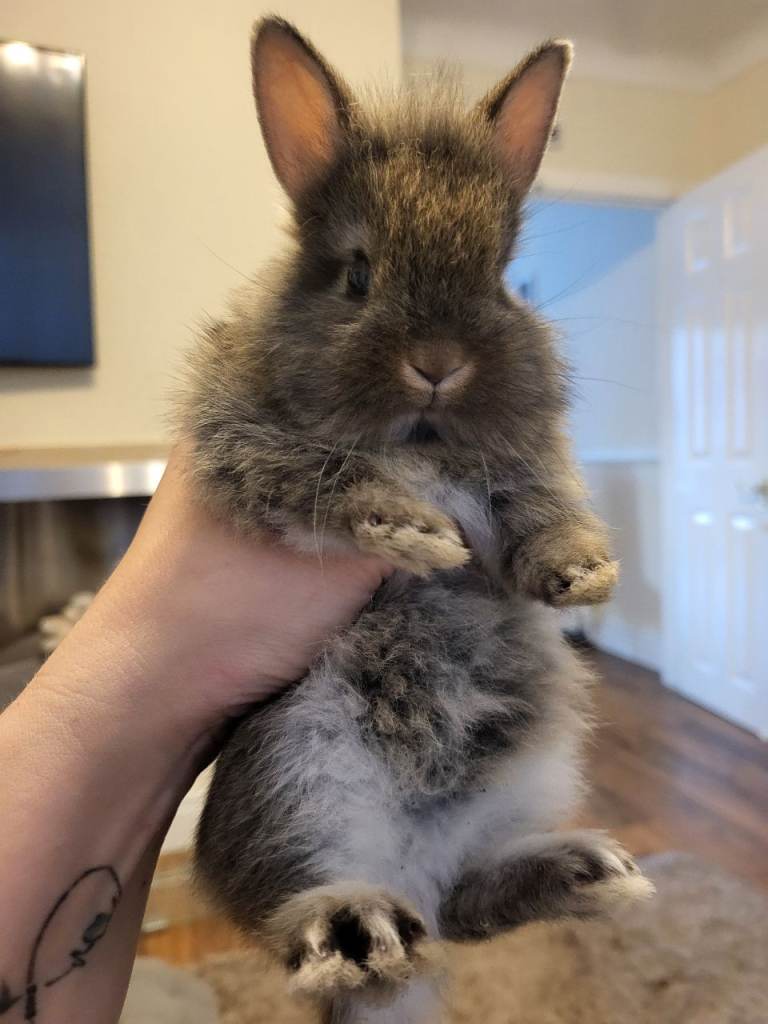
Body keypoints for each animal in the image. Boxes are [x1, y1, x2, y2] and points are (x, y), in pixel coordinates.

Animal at [181, 17, 653, 1024]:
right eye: (357, 275)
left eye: (502, 280)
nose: (438, 360)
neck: (425, 440)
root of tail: (410, 872)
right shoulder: (245, 446)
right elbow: (324, 479)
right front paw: (419, 530)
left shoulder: (527, 463)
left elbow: (544, 506)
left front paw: (580, 574)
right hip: (293, 767)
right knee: (295, 904)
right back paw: (358, 932)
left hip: (536, 764)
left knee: (467, 903)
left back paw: (591, 871)